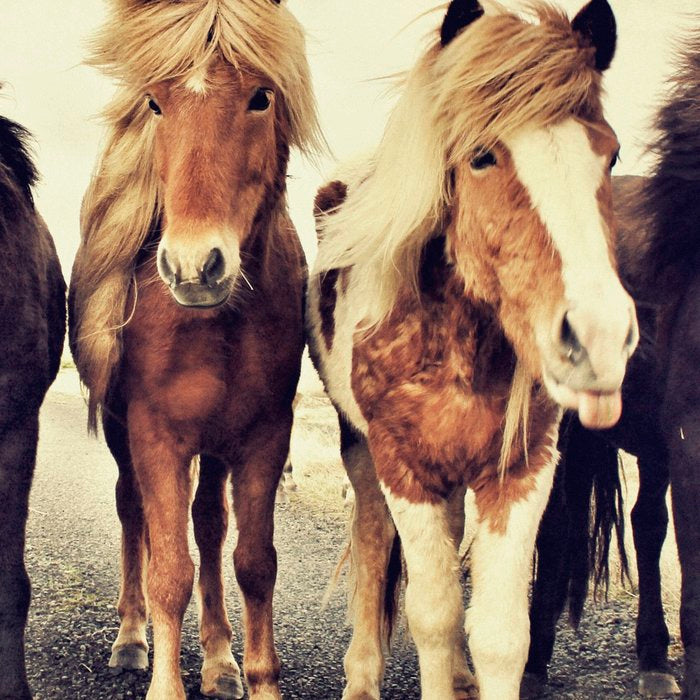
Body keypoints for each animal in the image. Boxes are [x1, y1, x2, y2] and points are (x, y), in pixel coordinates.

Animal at [68, 1, 321, 699]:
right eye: (156, 103)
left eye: (261, 96)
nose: (193, 267)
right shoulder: (156, 436)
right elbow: (169, 571)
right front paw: (163, 679)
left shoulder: (265, 436)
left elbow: (254, 561)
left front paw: (254, 675)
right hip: (128, 436)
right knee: (133, 514)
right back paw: (131, 638)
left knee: (209, 525)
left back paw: (218, 658)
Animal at [306, 0, 637, 698]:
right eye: (482, 156)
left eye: (611, 153)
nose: (598, 336)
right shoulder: (404, 469)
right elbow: (433, 615)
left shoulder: (521, 469)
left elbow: (500, 635)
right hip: (362, 455)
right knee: (371, 545)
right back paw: (362, 676)